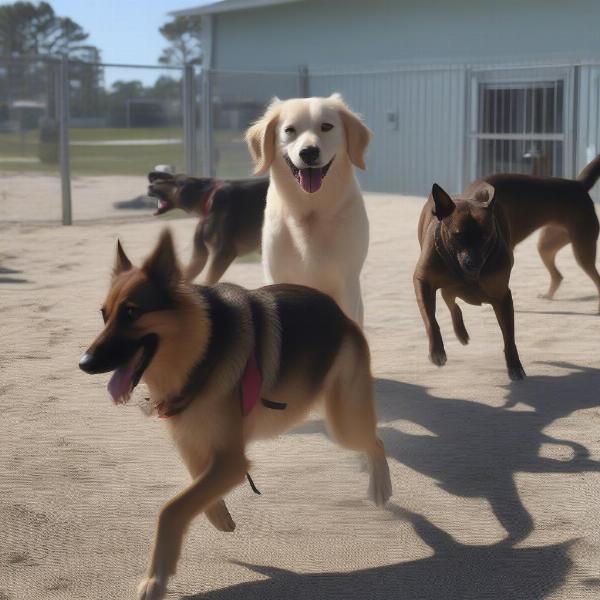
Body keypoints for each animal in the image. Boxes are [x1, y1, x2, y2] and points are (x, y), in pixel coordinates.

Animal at [77, 229, 392, 600]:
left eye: (131, 313)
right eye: (104, 314)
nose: (84, 363)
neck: (199, 348)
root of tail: (337, 311)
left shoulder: (231, 460)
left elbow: (171, 509)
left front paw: (155, 579)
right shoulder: (194, 444)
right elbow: (193, 487)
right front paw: (218, 514)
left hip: (343, 424)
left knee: (376, 442)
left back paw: (380, 486)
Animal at [245, 94, 370, 326]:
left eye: (326, 126)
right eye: (289, 130)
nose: (309, 152)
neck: (310, 212)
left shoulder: (346, 282)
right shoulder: (277, 276)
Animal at [414, 182, 524, 380]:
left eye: (485, 236)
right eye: (458, 235)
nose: (473, 262)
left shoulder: (502, 296)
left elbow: (509, 335)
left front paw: (514, 365)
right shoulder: (423, 281)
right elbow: (431, 320)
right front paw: (437, 351)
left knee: (450, 297)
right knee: (450, 299)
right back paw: (459, 331)